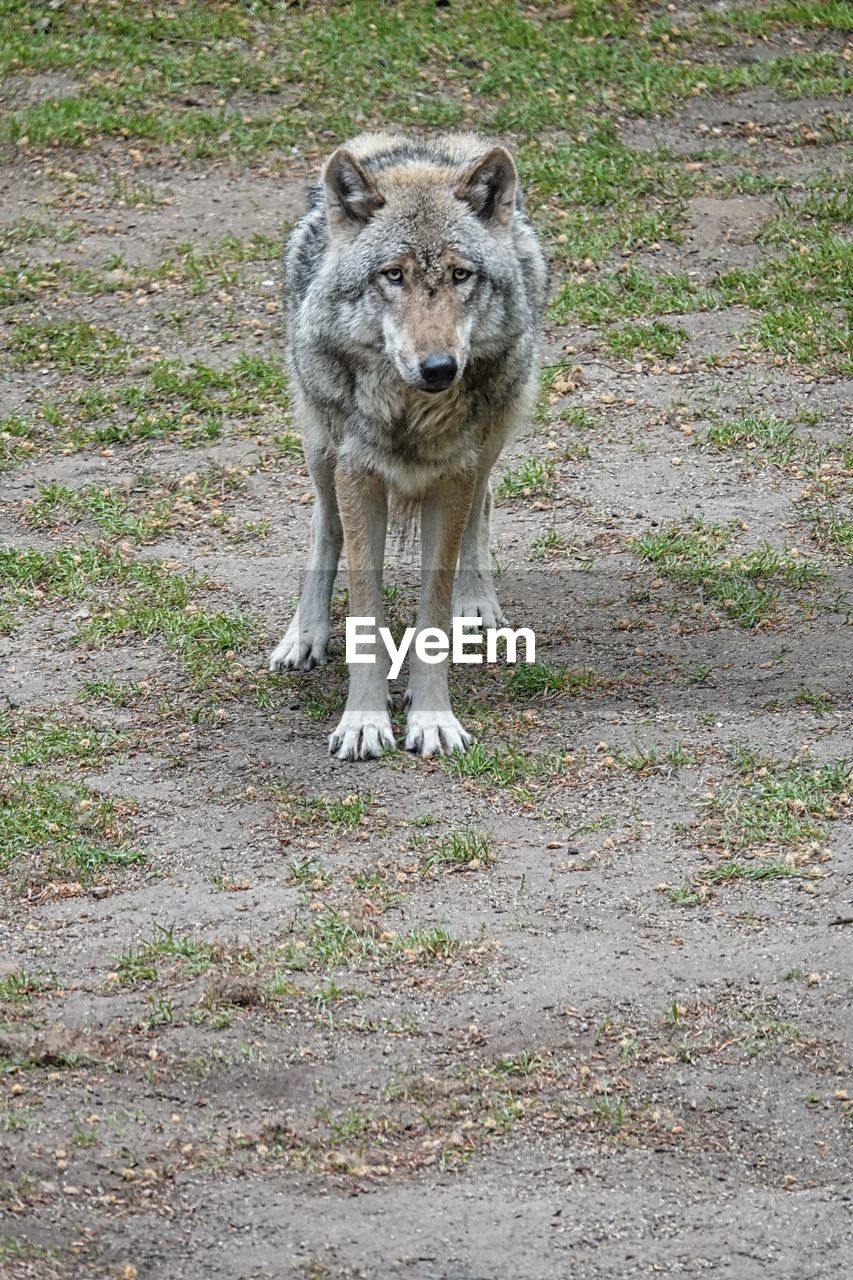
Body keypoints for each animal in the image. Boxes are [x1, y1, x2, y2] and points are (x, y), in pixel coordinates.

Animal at [267, 132, 545, 757]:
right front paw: (364, 722)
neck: (412, 413)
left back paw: (477, 602)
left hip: (493, 433)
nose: (439, 367)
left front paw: (432, 717)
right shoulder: (357, 474)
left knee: (483, 508)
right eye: (393, 275)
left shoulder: (455, 474)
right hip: (321, 445)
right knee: (324, 526)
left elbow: (433, 612)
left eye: (462, 275)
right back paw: (304, 634)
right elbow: (365, 614)